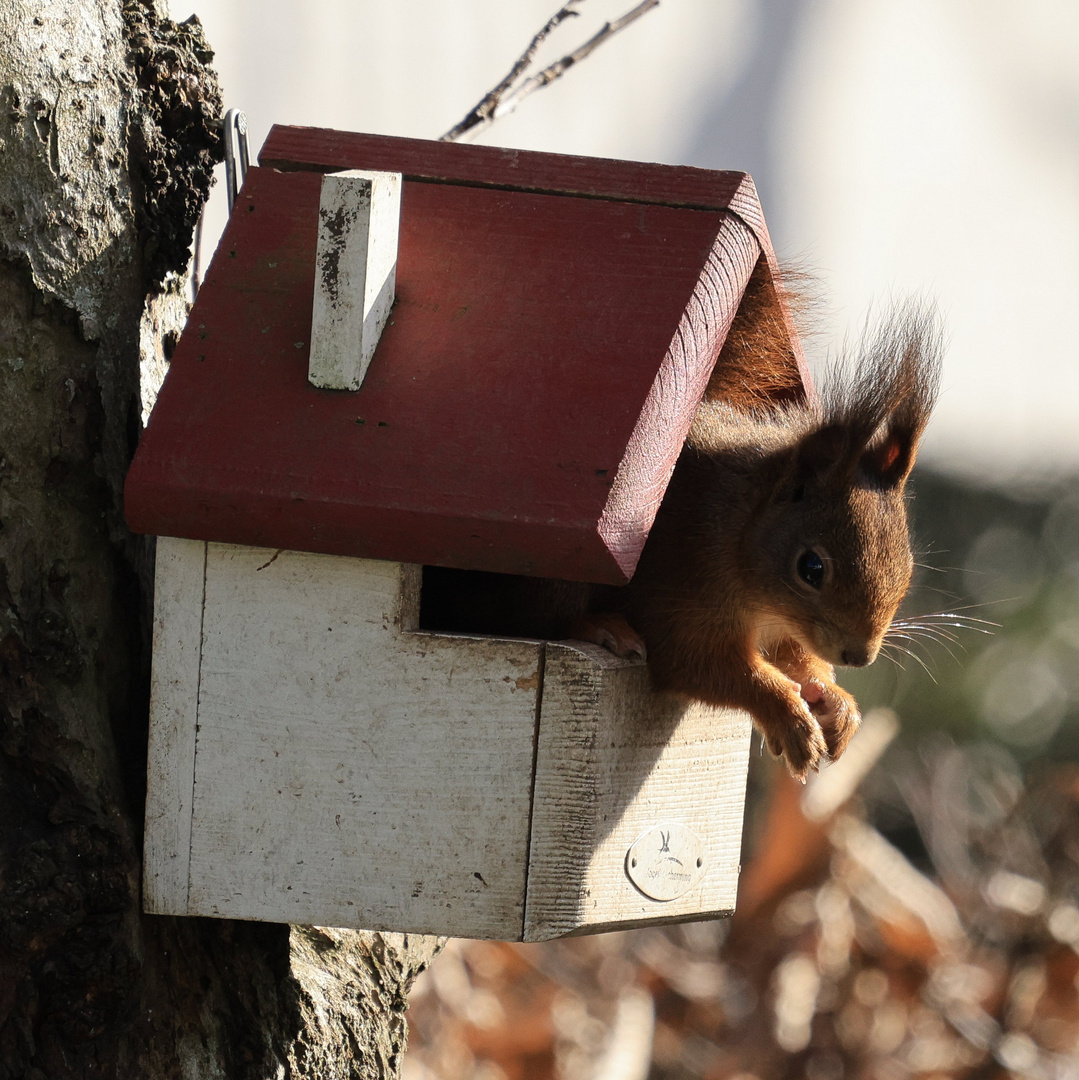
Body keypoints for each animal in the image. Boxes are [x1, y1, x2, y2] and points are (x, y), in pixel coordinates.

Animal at [416, 266, 941, 781]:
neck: (739, 529)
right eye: (811, 568)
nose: (859, 655)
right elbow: (702, 662)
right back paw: (601, 625)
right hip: (551, 578)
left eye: (908, 568)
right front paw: (789, 716)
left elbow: (796, 658)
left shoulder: (782, 626)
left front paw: (835, 703)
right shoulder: (686, 585)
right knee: (532, 616)